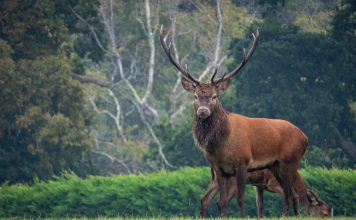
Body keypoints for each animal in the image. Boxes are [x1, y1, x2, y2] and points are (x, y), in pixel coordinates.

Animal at [160, 25, 308, 217]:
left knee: (289, 195)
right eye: (195, 96)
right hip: (276, 166)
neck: (222, 145)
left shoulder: (243, 164)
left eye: (214, 96)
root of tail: (305, 137)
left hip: (290, 162)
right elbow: (222, 203)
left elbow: (240, 199)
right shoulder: (220, 169)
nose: (202, 111)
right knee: (292, 195)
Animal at [202, 168, 330, 217]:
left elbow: (260, 205)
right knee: (221, 202)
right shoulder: (272, 183)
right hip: (233, 180)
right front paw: (290, 216)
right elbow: (294, 195)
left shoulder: (258, 186)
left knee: (205, 199)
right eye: (325, 214)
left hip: (215, 180)